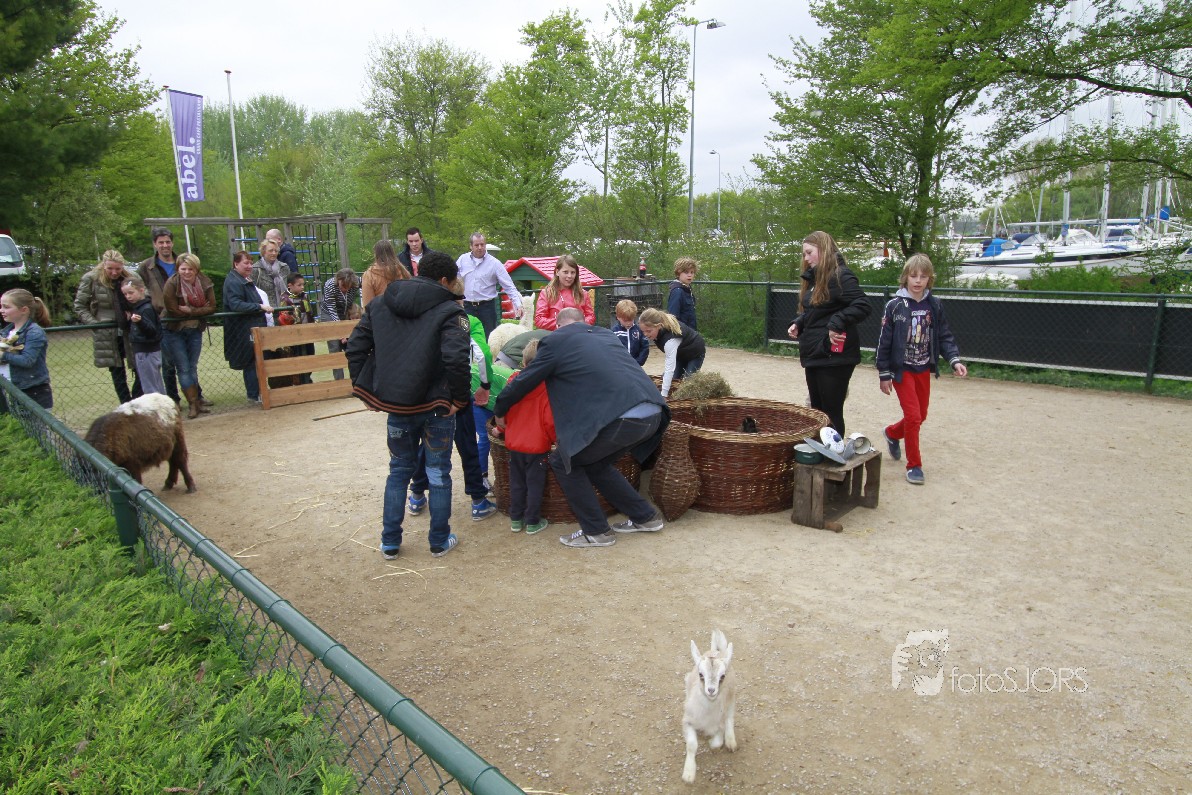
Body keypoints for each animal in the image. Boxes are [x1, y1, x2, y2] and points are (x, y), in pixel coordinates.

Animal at [682, 629, 738, 784]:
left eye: (722, 676)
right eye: (701, 674)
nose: (711, 690)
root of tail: (716, 651)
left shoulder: (719, 723)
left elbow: (717, 742)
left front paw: (713, 742)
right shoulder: (687, 721)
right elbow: (692, 745)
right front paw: (689, 774)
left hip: (731, 697)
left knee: (730, 716)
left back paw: (731, 742)